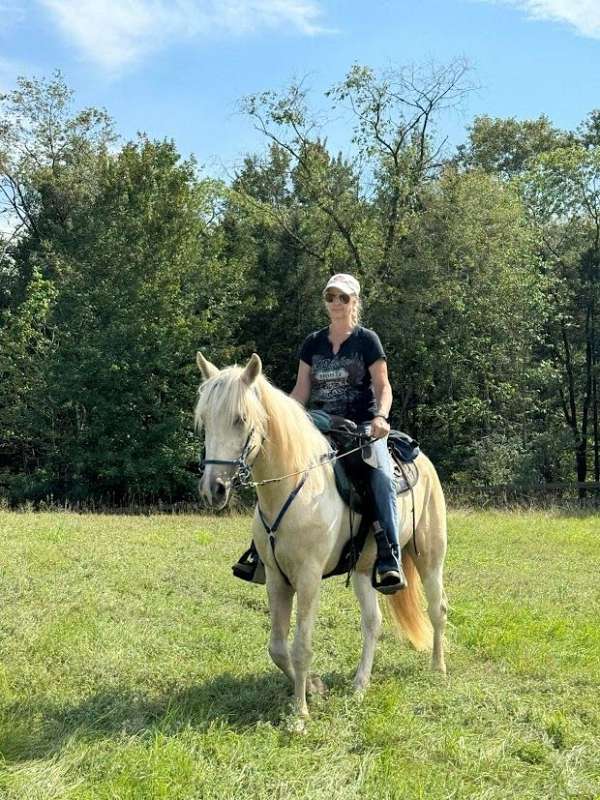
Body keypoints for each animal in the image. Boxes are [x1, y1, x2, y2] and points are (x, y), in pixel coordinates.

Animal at [194, 351, 448, 725]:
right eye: (206, 421)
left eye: (241, 419)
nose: (214, 489)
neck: (295, 485)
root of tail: (423, 461)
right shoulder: (276, 578)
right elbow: (278, 647)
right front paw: (315, 688)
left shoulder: (308, 577)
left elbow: (301, 647)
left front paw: (299, 714)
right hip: (363, 571)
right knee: (373, 623)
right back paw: (359, 685)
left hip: (430, 557)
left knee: (437, 609)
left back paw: (438, 668)